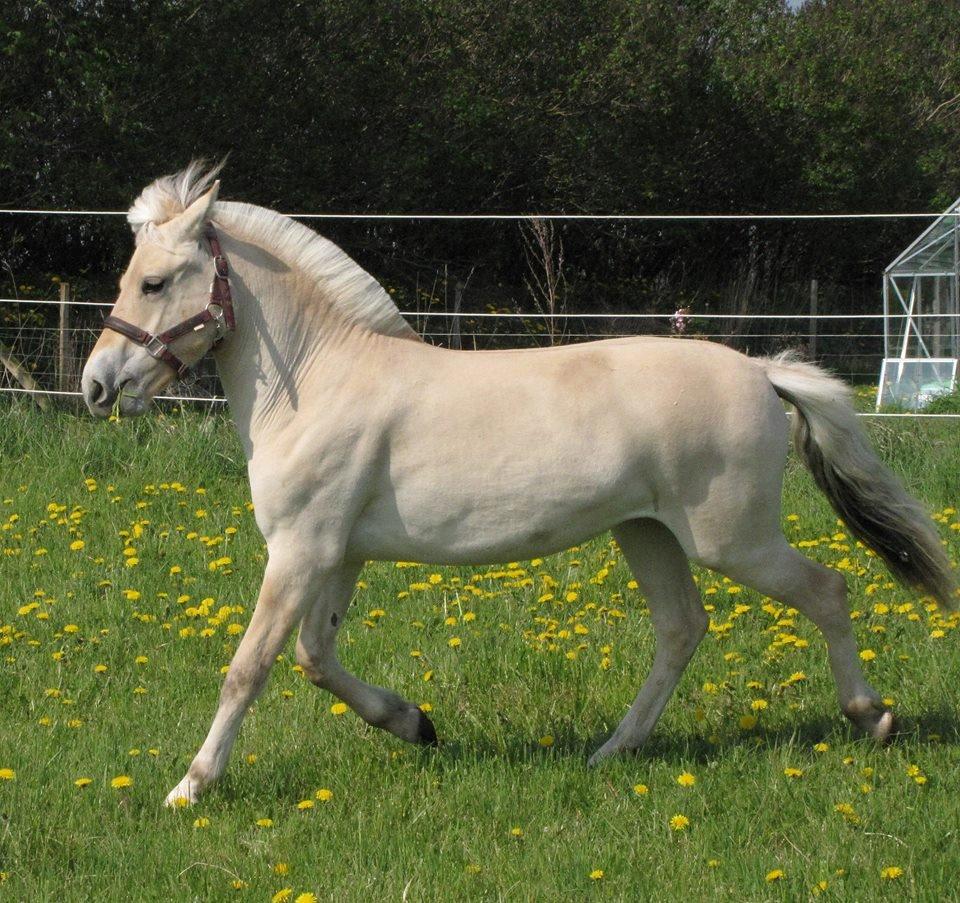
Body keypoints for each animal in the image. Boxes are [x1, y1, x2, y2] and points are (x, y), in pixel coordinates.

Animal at [80, 166, 952, 808]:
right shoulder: (335, 553)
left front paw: (189, 787)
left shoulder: (298, 551)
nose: (95, 386)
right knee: (681, 628)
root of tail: (762, 371)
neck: (321, 376)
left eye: (153, 282)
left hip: (731, 537)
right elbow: (314, 657)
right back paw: (612, 750)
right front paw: (417, 724)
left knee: (826, 590)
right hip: (647, 532)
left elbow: (250, 665)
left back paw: (872, 718)